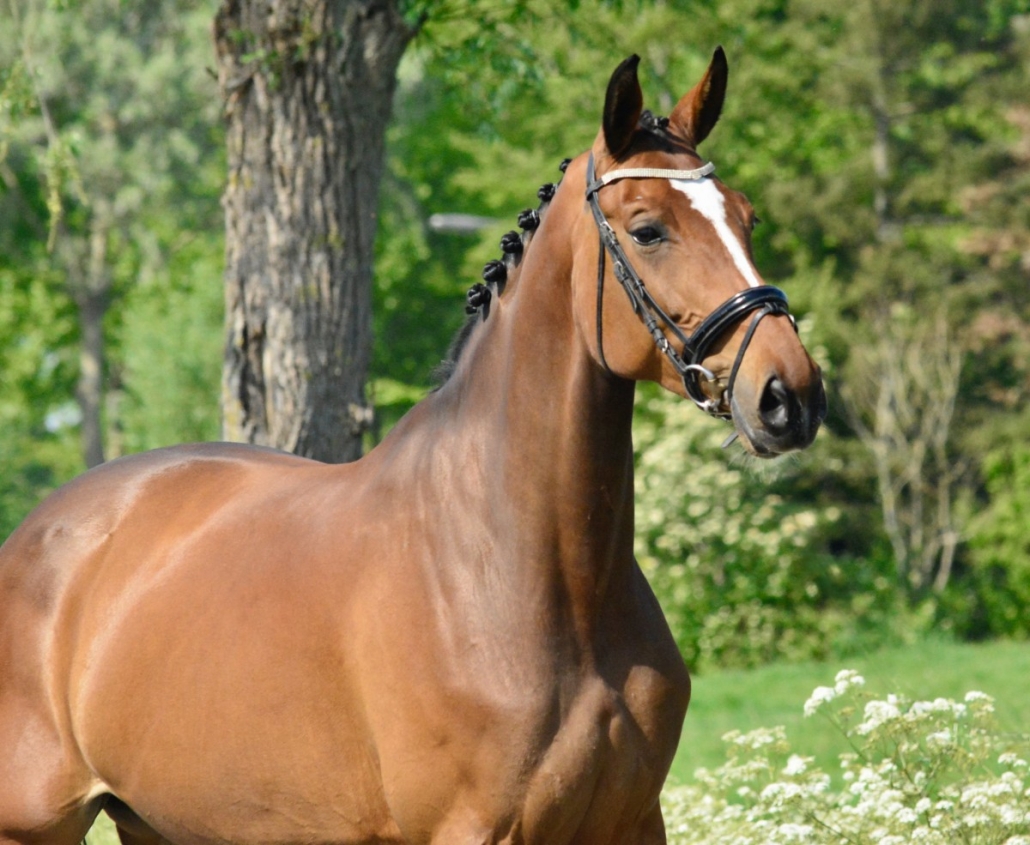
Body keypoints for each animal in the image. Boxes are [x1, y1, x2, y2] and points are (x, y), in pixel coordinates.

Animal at [0, 52, 824, 845]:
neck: (525, 573)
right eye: (648, 228)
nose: (790, 395)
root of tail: (39, 534)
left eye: (747, 218)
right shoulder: (471, 829)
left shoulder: (632, 823)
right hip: (36, 827)